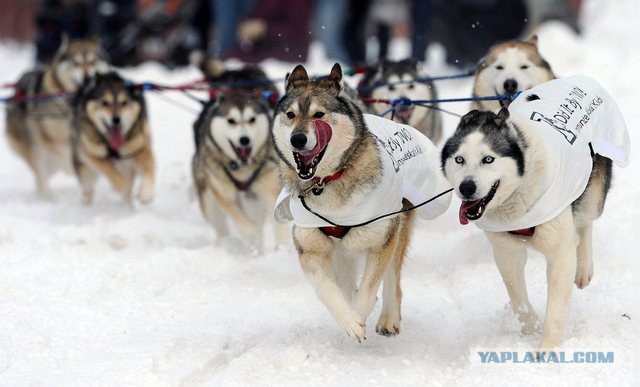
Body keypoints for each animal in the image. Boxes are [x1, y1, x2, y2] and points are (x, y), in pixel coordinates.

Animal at [4, 36, 109, 199]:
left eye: (92, 62)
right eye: (76, 63)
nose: (87, 78)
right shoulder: (51, 139)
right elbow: (67, 158)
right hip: (36, 148)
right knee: (40, 174)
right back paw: (48, 195)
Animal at [71, 72, 155, 206]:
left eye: (124, 103)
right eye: (105, 103)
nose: (116, 120)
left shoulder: (140, 147)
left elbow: (149, 167)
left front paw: (146, 194)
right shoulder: (89, 153)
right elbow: (108, 169)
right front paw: (121, 185)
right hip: (86, 172)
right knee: (88, 188)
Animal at [192, 90, 288, 249]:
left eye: (252, 119)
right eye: (231, 121)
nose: (244, 140)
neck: (243, 168)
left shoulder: (271, 190)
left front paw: (282, 247)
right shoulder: (224, 194)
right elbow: (242, 221)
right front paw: (251, 236)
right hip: (210, 205)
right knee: (221, 226)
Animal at [274, 63, 450, 340]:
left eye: (319, 114)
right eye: (290, 115)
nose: (297, 139)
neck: (327, 182)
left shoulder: (382, 238)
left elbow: (369, 287)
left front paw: (358, 314)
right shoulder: (311, 248)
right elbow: (325, 288)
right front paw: (348, 318)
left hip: (396, 228)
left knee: (392, 281)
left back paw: (389, 318)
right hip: (341, 250)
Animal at [442, 76, 628, 348]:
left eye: (488, 159)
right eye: (459, 160)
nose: (467, 188)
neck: (520, 188)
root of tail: (578, 78)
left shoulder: (560, 253)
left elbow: (556, 309)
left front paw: (547, 350)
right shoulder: (506, 253)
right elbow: (518, 300)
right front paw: (531, 330)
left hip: (592, 192)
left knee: (585, 223)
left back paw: (583, 268)